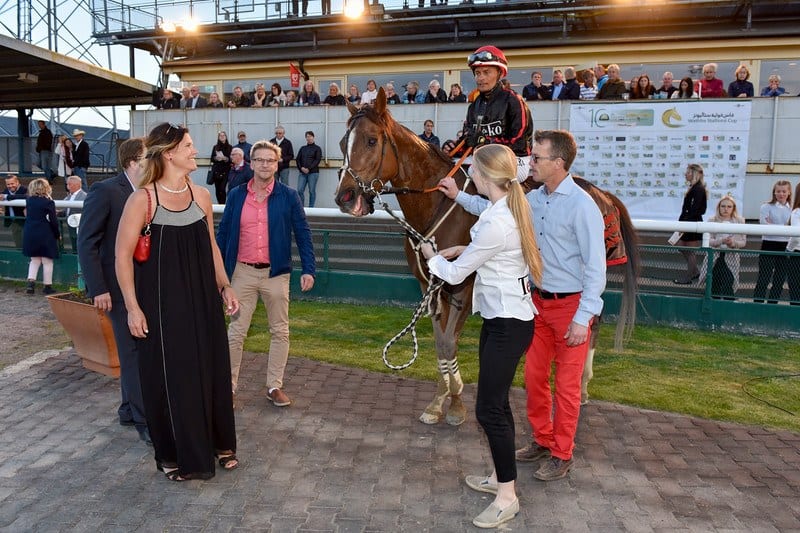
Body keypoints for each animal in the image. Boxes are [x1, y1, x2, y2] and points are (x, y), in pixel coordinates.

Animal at [334, 89, 640, 426]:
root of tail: (600, 192)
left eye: (371, 140)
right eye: (343, 143)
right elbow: (441, 345)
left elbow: (448, 342)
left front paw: (455, 403)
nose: (345, 197)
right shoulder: (430, 286)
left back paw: (582, 386)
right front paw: (439, 402)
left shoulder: (463, 287)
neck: (439, 206)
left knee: (591, 320)